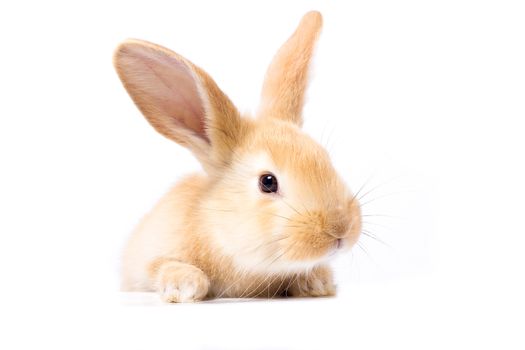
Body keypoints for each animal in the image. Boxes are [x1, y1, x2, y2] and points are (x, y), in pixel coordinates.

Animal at [113, 9, 360, 302]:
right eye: (267, 182)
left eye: (325, 159)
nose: (340, 229)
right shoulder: (149, 257)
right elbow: (162, 266)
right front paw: (186, 285)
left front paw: (317, 281)